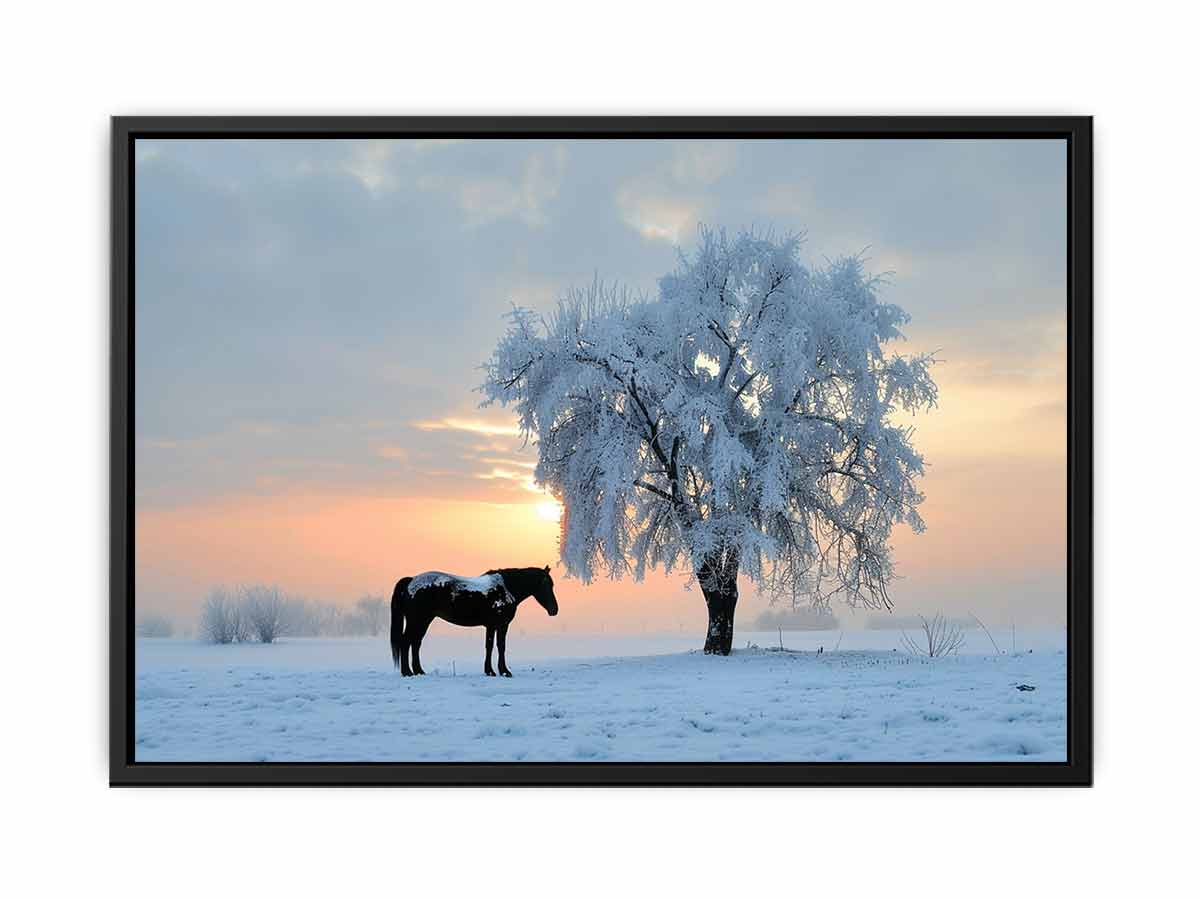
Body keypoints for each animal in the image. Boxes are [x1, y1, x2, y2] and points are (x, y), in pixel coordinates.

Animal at [390, 566, 558, 677]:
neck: (505, 588)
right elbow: (496, 646)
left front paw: (495, 671)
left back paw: (419, 671)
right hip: (417, 620)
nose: (554, 610)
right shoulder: (498, 625)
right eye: (547, 584)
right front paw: (499, 671)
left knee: (415, 643)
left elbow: (494, 646)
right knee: (406, 642)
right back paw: (407, 672)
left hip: (423, 621)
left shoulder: (495, 626)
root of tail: (411, 581)